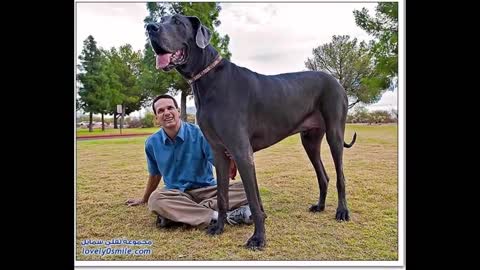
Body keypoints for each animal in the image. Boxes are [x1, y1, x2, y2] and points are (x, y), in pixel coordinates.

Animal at [146, 14, 356, 249]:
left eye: (177, 22)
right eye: (162, 19)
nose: (150, 27)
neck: (207, 80)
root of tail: (336, 81)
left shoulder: (241, 152)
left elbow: (253, 200)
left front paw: (258, 238)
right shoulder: (219, 152)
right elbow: (223, 196)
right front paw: (219, 228)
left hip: (334, 133)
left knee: (340, 176)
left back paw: (342, 211)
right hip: (310, 140)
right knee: (323, 176)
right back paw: (319, 206)